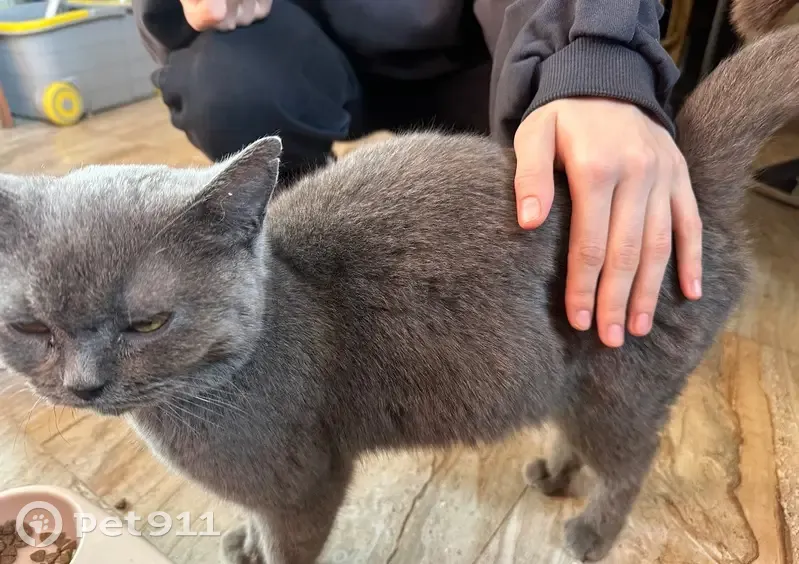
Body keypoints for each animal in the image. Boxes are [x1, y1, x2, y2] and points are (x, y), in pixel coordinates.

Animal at [1, 18, 798, 564]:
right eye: (33, 328)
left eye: (148, 324)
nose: (83, 385)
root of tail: (686, 182)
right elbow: (254, 522)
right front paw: (243, 543)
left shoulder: (305, 483)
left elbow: (288, 537)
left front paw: (259, 551)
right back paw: (553, 472)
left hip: (620, 384)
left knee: (631, 462)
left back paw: (590, 532)